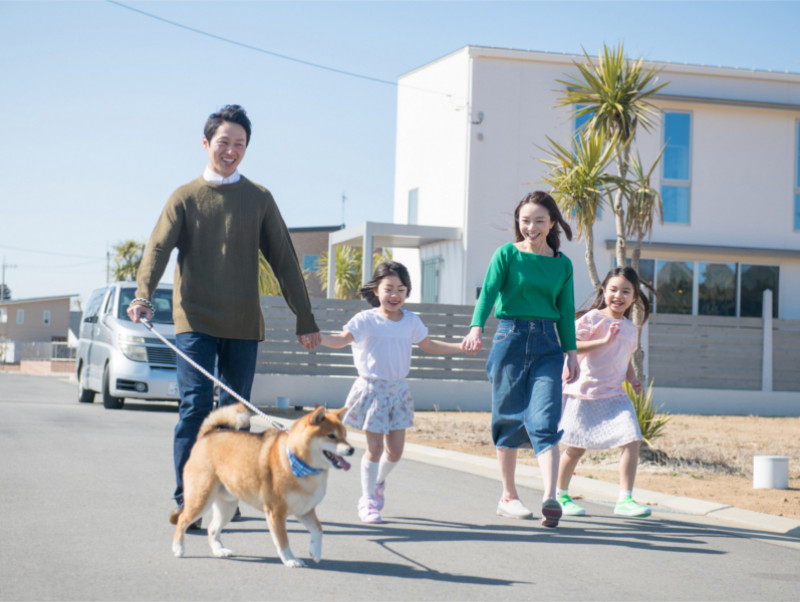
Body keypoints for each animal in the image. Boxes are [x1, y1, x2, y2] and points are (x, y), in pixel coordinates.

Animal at [172, 400, 354, 564]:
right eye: (331, 436)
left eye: (345, 436)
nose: (351, 449)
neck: (299, 462)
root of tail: (208, 434)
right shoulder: (276, 512)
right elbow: (283, 541)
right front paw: (290, 560)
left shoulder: (304, 510)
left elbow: (318, 529)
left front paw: (315, 551)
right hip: (200, 500)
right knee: (182, 520)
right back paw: (178, 548)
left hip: (227, 507)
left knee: (212, 529)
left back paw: (219, 550)